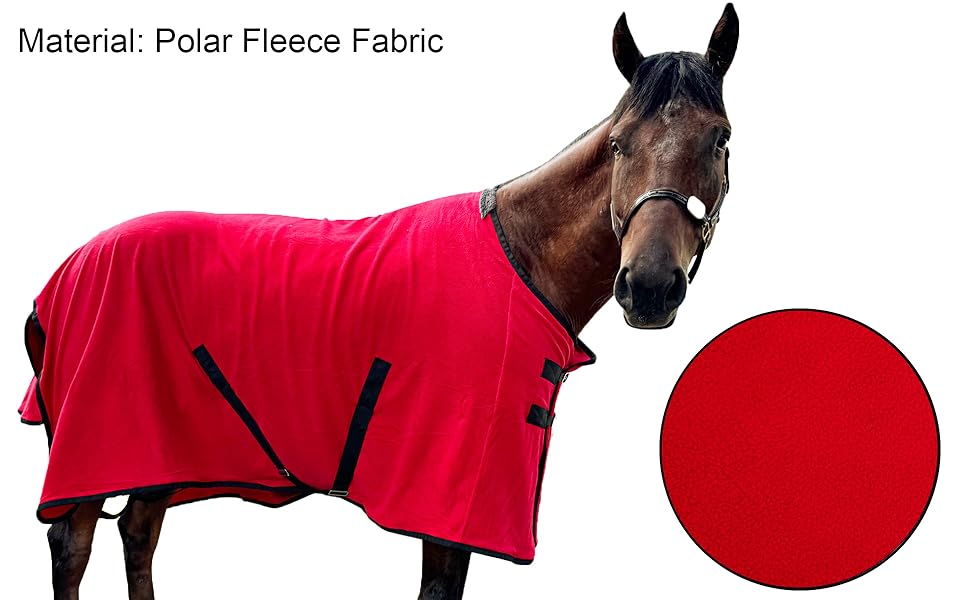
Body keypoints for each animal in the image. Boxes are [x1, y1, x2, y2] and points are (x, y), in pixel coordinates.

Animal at [21, 5, 738, 599]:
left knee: (139, 533)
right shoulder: (449, 488)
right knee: (73, 544)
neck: (521, 256)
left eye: (720, 139)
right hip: (100, 442)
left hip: (164, 444)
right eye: (618, 143)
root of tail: (63, 272)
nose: (649, 287)